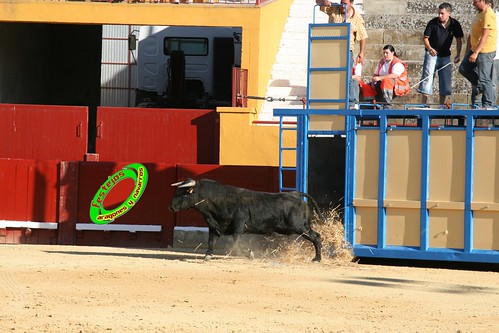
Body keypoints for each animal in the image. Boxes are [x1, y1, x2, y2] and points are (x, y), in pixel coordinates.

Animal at [170, 178, 322, 260]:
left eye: (183, 193)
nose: (170, 207)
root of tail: (295, 195)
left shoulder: (239, 223)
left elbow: (236, 241)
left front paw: (250, 254)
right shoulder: (213, 225)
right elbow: (211, 240)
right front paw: (208, 255)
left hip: (300, 227)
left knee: (316, 237)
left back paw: (317, 258)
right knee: (316, 236)